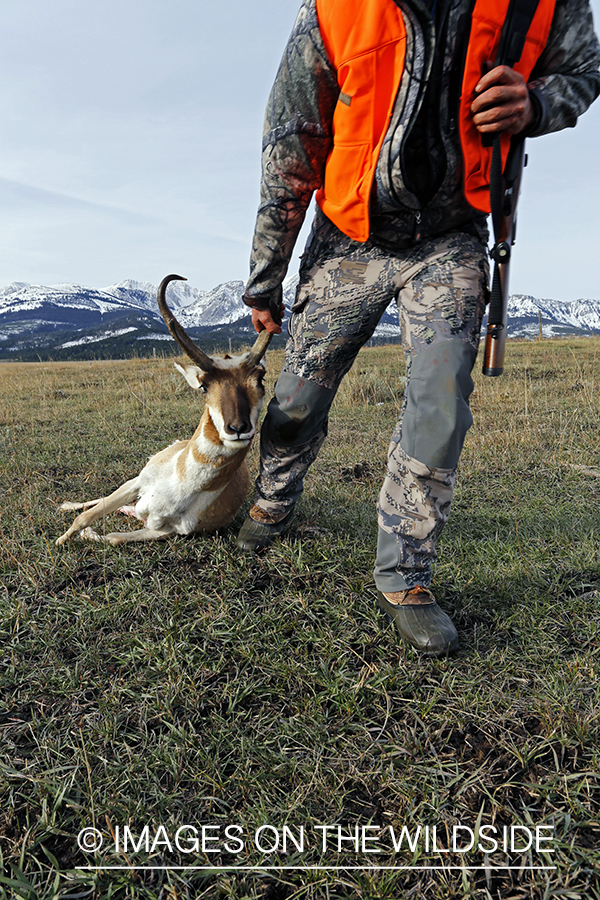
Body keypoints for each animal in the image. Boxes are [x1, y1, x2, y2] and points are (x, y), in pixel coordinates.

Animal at [56, 270, 272, 544]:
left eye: (260, 380)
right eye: (204, 386)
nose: (237, 428)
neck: (178, 487)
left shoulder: (164, 531)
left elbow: (114, 537)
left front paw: (85, 534)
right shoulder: (137, 482)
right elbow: (86, 516)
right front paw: (61, 540)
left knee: (124, 510)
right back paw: (65, 505)